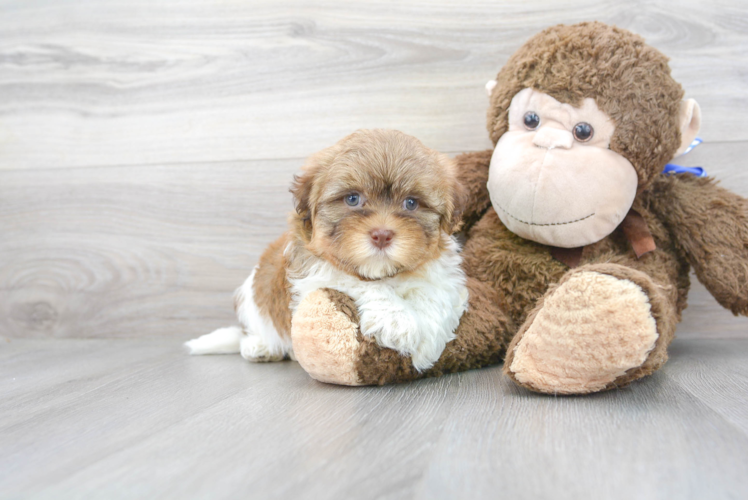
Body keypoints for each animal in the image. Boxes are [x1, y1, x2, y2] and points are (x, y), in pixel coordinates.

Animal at [187, 129, 468, 372]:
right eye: (352, 199)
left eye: (411, 203)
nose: (382, 235)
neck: (386, 273)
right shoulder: (314, 269)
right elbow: (360, 282)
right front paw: (398, 321)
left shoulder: (443, 273)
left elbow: (437, 294)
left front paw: (428, 345)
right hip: (251, 301)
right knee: (250, 334)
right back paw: (260, 347)